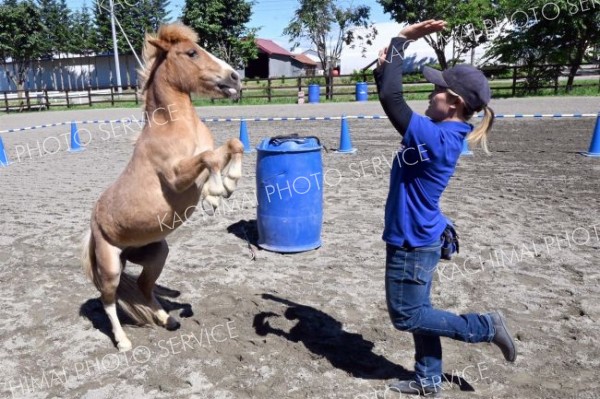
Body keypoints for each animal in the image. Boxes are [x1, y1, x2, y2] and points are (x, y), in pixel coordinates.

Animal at [81, 23, 245, 352]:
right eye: (192, 53)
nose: (235, 77)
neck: (175, 126)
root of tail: (93, 227)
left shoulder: (206, 156)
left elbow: (234, 144)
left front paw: (228, 183)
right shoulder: (175, 176)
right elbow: (210, 159)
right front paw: (215, 196)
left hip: (157, 253)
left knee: (144, 286)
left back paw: (167, 319)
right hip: (110, 265)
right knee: (108, 300)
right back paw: (123, 342)